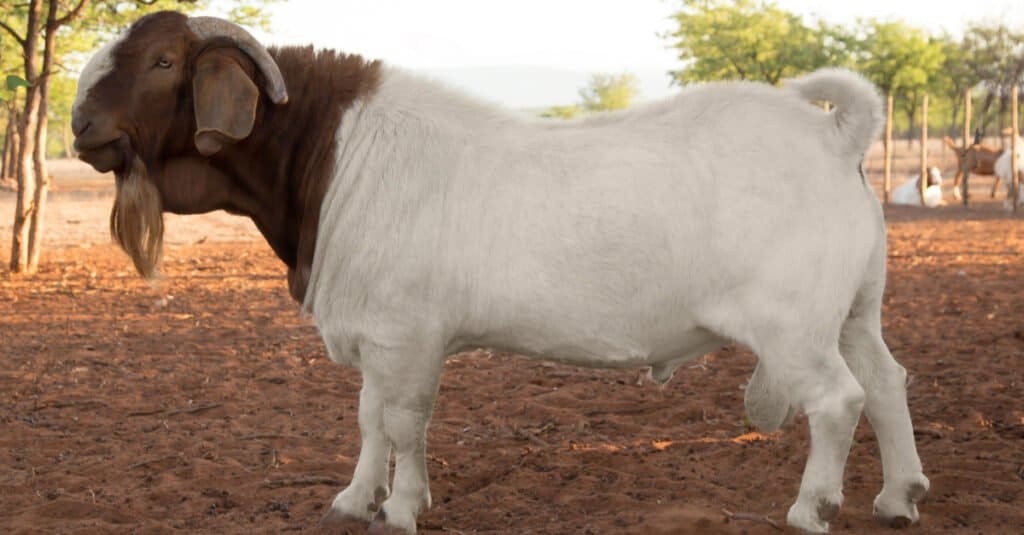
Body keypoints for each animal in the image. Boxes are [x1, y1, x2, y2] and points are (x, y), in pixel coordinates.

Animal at [72, 10, 929, 528]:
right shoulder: (384, 338)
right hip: (852, 310)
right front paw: (356, 498)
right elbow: (372, 418)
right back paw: (899, 494)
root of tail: (833, 137)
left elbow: (401, 421)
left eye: (161, 60)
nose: (80, 125)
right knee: (887, 380)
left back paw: (812, 506)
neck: (335, 153)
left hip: (791, 326)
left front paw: (402, 508)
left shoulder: (405, 334)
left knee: (839, 399)